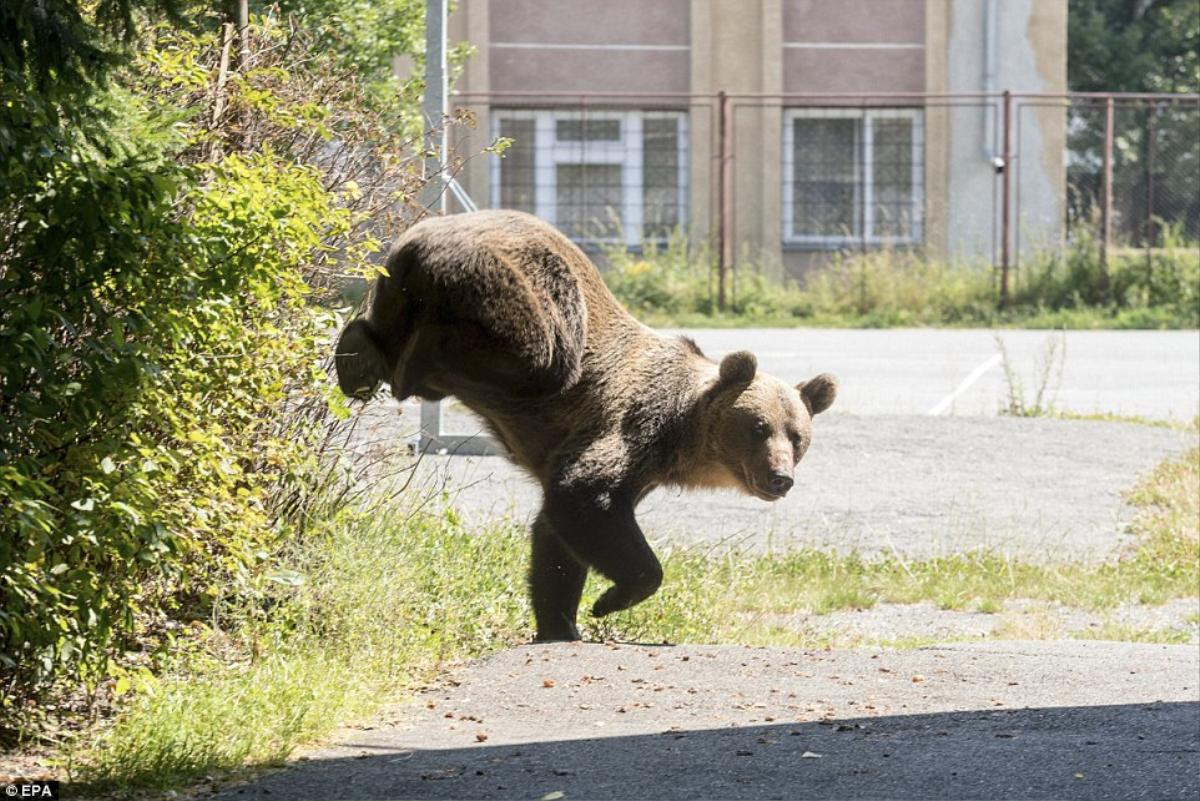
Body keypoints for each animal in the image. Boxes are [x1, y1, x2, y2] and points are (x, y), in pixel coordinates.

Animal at [333, 209, 830, 642]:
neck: (681, 435)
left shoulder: (643, 470)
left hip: (396, 285)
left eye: (797, 438)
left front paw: (561, 621)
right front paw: (608, 601)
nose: (780, 477)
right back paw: (408, 364)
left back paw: (356, 356)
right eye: (758, 428)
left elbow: (555, 538)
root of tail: (421, 238)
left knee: (383, 328)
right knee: (539, 353)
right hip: (520, 291)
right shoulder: (633, 423)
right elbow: (584, 495)